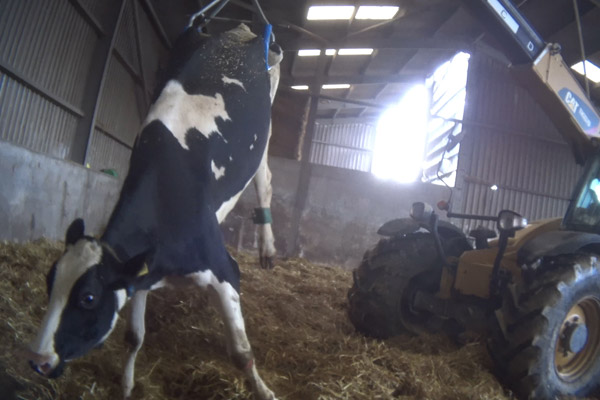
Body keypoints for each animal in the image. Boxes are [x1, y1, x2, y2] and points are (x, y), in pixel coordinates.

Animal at [25, 22, 284, 400]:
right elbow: (134, 337)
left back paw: (267, 248)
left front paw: (264, 390)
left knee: (264, 182)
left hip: (265, 129)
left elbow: (242, 353)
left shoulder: (224, 271)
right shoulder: (140, 272)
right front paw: (127, 385)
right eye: (49, 280)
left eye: (88, 297)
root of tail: (240, 28)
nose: (37, 360)